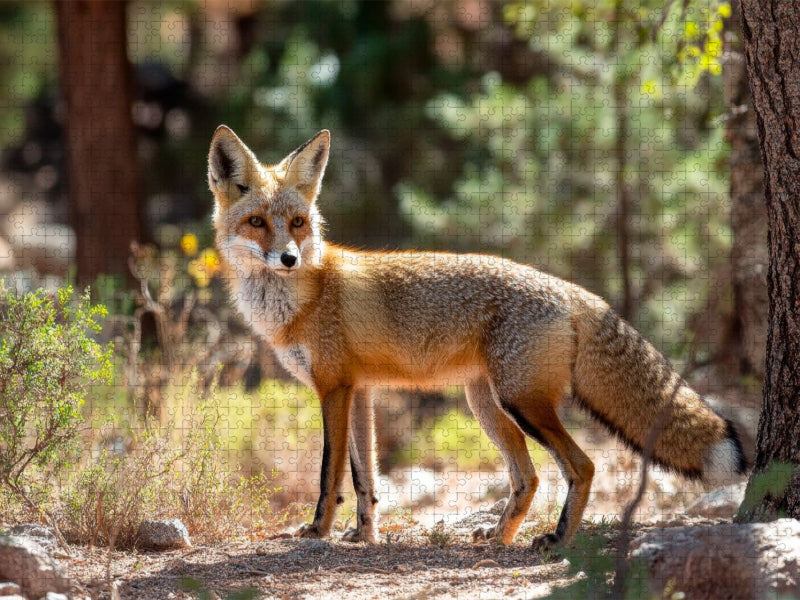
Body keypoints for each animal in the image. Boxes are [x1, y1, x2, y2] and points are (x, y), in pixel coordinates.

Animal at [207, 125, 749, 549]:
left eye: (298, 223)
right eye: (257, 222)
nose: (288, 259)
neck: (303, 298)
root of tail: (572, 290)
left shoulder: (333, 388)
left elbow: (329, 474)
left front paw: (318, 531)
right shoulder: (357, 391)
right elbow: (365, 478)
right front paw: (364, 535)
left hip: (521, 403)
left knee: (582, 465)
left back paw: (557, 540)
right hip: (487, 405)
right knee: (528, 477)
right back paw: (500, 538)